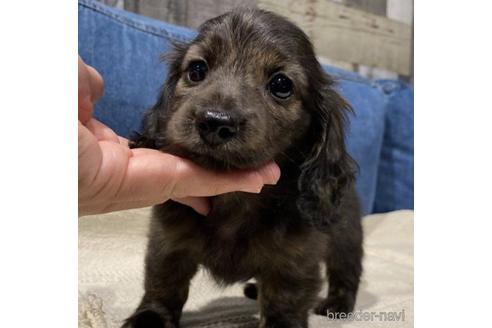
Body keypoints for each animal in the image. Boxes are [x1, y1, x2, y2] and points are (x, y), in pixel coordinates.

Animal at [124, 9, 362, 328]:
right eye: (197, 70)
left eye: (281, 85)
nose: (214, 121)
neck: (236, 201)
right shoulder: (168, 241)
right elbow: (164, 281)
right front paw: (150, 317)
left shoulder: (295, 259)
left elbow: (286, 297)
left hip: (345, 237)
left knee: (345, 273)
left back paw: (337, 303)